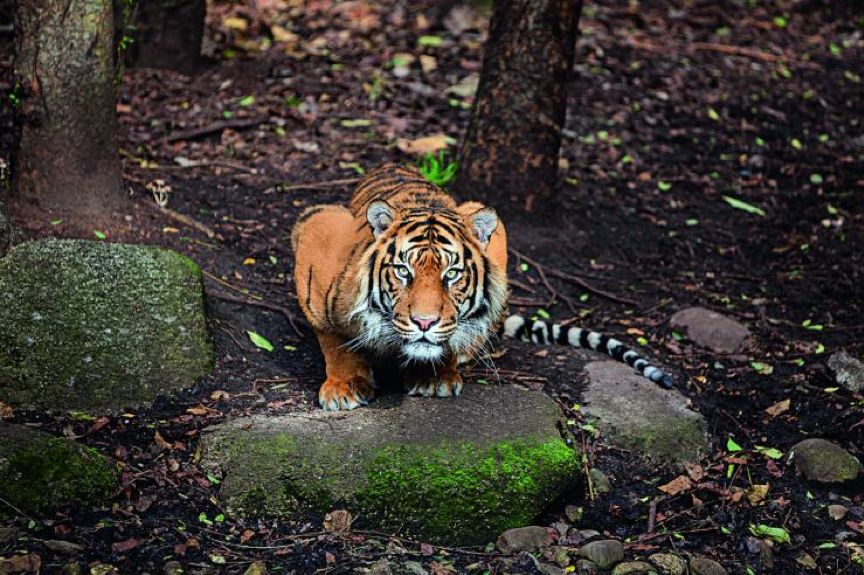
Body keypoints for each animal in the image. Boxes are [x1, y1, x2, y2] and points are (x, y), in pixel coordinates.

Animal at [292, 164, 676, 412]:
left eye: (451, 274)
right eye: (403, 271)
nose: (424, 323)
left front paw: (435, 377)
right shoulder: (315, 228)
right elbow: (333, 338)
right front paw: (344, 388)